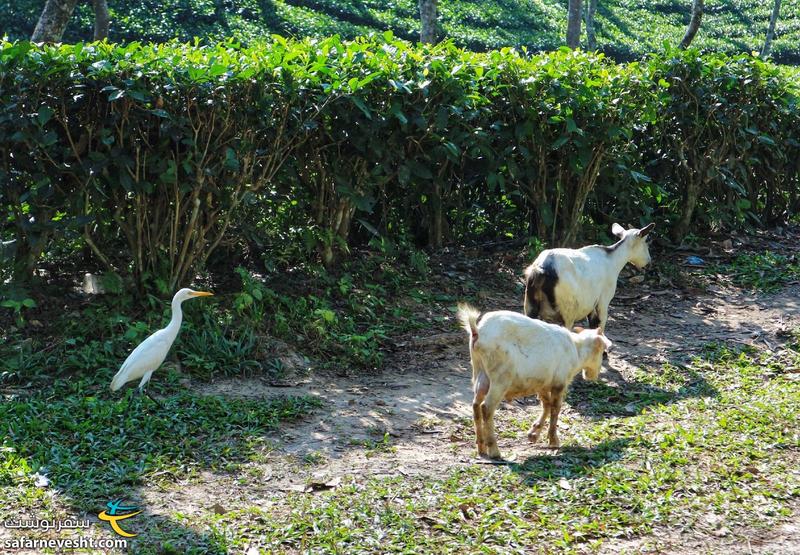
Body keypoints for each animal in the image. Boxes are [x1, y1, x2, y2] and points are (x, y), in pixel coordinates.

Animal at [460, 304, 608, 460]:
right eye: (602, 351)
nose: (593, 375)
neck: (577, 350)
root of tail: (477, 332)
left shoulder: (542, 384)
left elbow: (546, 405)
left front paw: (533, 434)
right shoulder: (560, 382)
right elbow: (555, 408)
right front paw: (553, 441)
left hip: (480, 373)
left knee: (476, 405)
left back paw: (481, 448)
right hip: (500, 378)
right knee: (486, 407)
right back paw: (494, 451)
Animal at [524, 223, 656, 334]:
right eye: (646, 242)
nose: (649, 263)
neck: (613, 259)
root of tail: (542, 269)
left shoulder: (592, 303)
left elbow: (593, 324)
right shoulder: (603, 300)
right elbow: (600, 325)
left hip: (530, 307)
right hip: (567, 312)